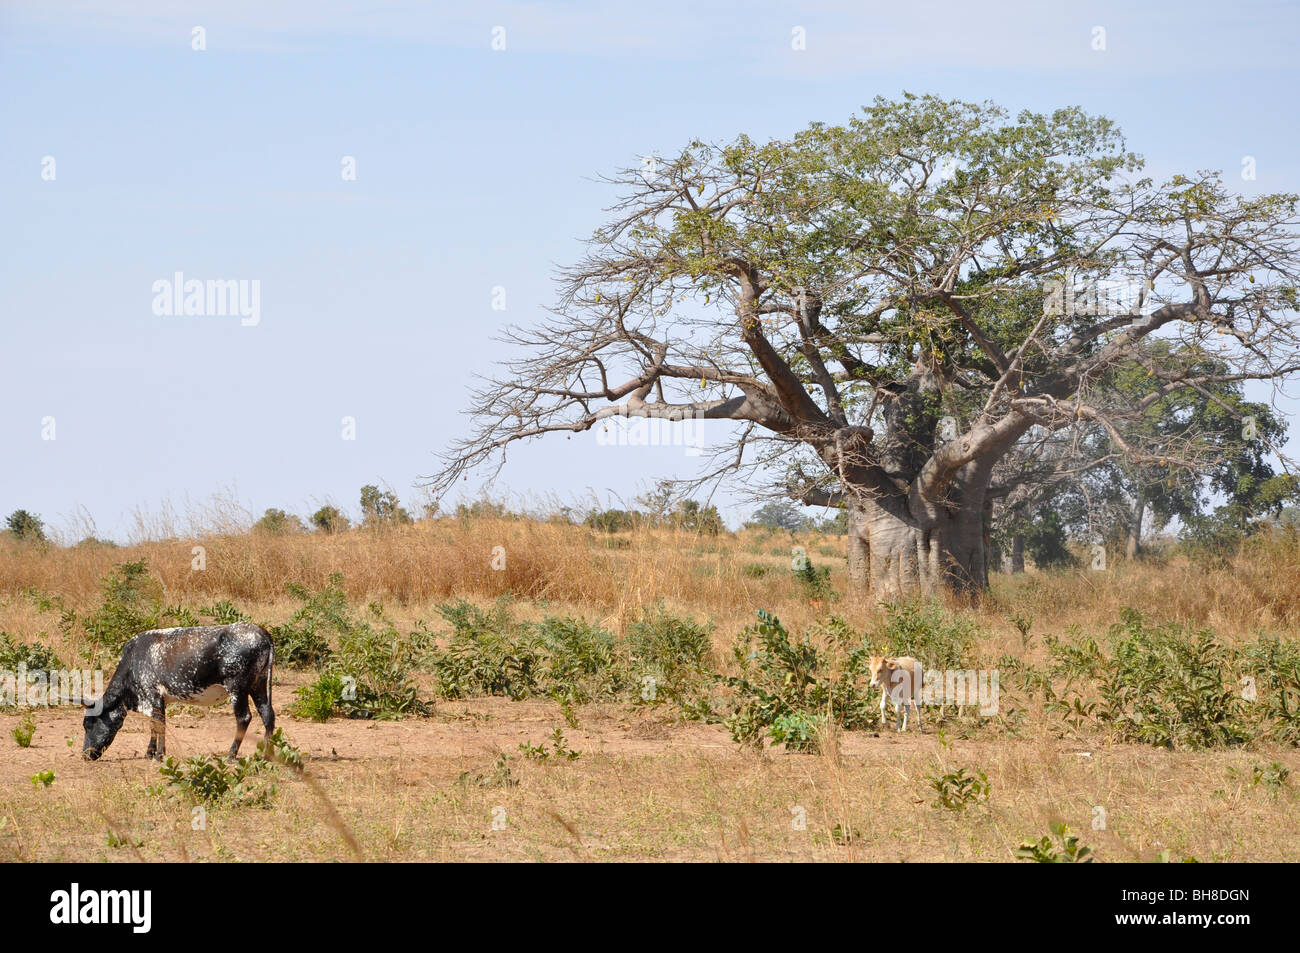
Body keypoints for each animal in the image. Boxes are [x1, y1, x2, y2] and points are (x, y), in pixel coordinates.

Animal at [82, 623, 275, 762]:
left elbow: (159, 725)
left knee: (244, 717)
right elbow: (153, 725)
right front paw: (150, 752)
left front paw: (158, 755)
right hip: (258, 685)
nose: (85, 755)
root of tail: (261, 632)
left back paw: (231, 754)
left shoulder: (153, 694)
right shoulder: (156, 700)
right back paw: (265, 755)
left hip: (238, 688)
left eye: (88, 724)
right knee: (268, 715)